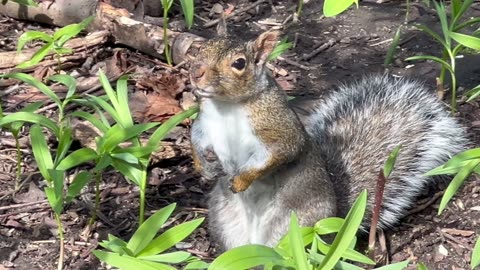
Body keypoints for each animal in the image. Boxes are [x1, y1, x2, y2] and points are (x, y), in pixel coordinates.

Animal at [188, 31, 468, 251]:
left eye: (239, 63)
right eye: (202, 48)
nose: (196, 72)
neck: (226, 106)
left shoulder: (279, 129)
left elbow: (278, 154)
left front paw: (241, 179)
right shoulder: (205, 125)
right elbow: (195, 137)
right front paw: (204, 166)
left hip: (297, 226)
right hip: (224, 222)